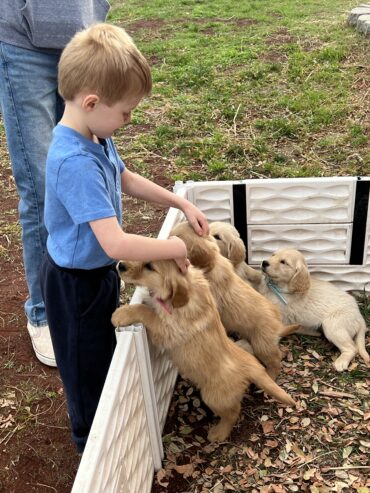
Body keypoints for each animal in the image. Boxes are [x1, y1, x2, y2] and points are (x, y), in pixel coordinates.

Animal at [111, 260, 296, 440]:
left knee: (233, 413)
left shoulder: (169, 328)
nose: (120, 265)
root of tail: (252, 367)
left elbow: (146, 312)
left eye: (149, 266)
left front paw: (121, 314)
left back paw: (219, 433)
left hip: (214, 396)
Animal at [171, 221, 300, 378]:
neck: (213, 263)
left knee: (276, 359)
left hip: (262, 344)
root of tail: (279, 326)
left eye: (177, 237)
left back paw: (270, 376)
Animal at [238, 248, 368, 370]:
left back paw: (342, 361)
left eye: (283, 262)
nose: (264, 262)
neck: (277, 287)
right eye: (273, 255)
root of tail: (360, 317)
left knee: (352, 348)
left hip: (333, 325)